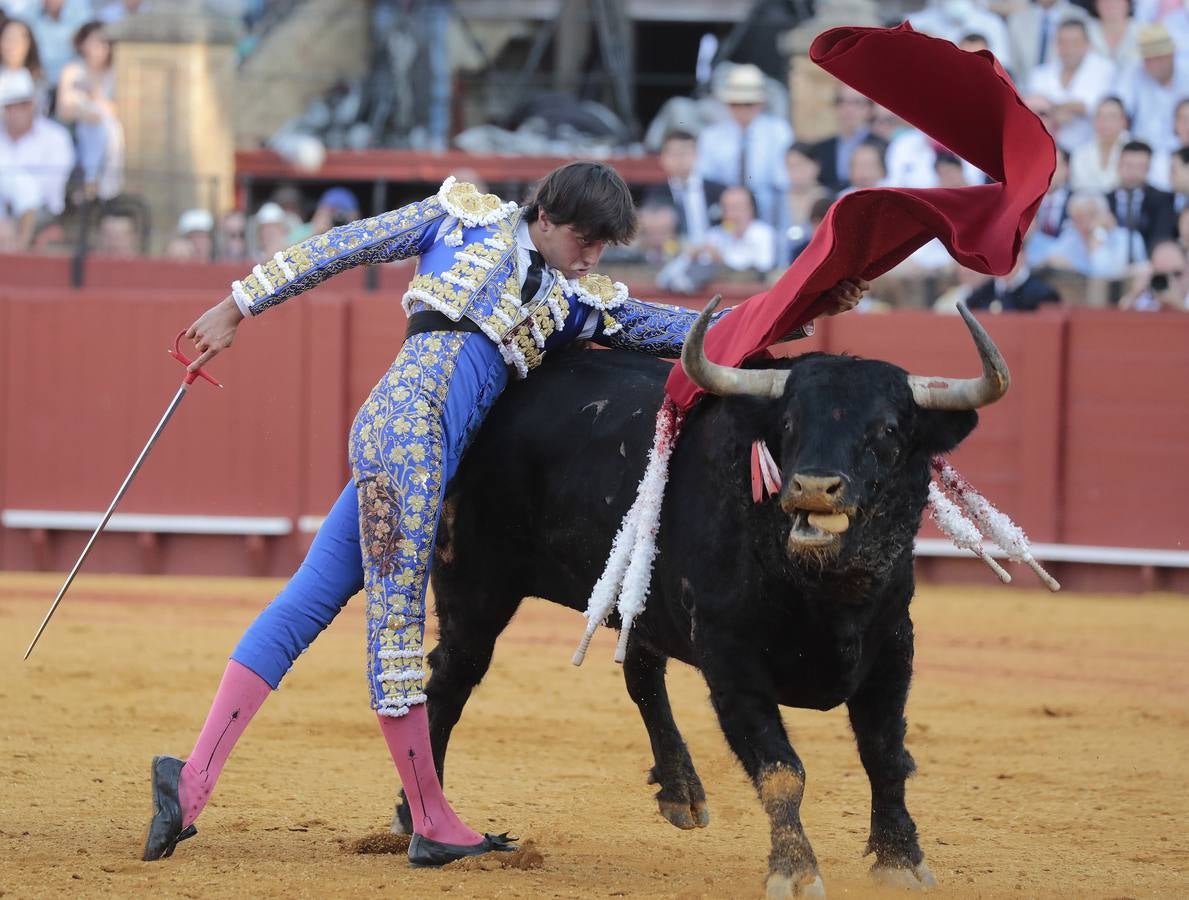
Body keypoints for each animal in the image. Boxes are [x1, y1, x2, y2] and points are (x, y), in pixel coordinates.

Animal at [394, 304, 1008, 894]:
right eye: (789, 423)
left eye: (887, 429)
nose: (813, 487)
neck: (822, 591)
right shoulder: (730, 657)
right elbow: (782, 770)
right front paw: (795, 871)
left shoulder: (892, 645)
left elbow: (884, 754)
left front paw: (901, 860)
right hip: (475, 586)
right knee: (450, 679)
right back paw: (423, 823)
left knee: (640, 673)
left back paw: (680, 790)